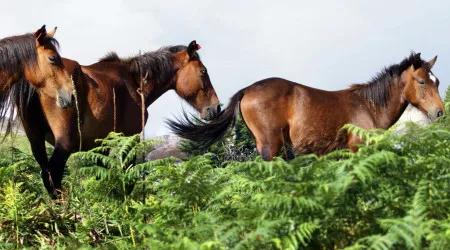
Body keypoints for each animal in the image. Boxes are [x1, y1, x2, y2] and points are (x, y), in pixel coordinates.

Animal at [4, 40, 220, 195]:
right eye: (203, 71)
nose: (216, 107)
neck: (134, 82)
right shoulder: (130, 137)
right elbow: (129, 176)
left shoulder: (100, 146)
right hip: (64, 142)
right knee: (54, 174)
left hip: (36, 140)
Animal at [167, 52, 444, 160]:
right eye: (421, 81)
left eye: (437, 81)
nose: (440, 112)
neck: (368, 106)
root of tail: (248, 89)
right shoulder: (357, 150)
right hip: (271, 147)